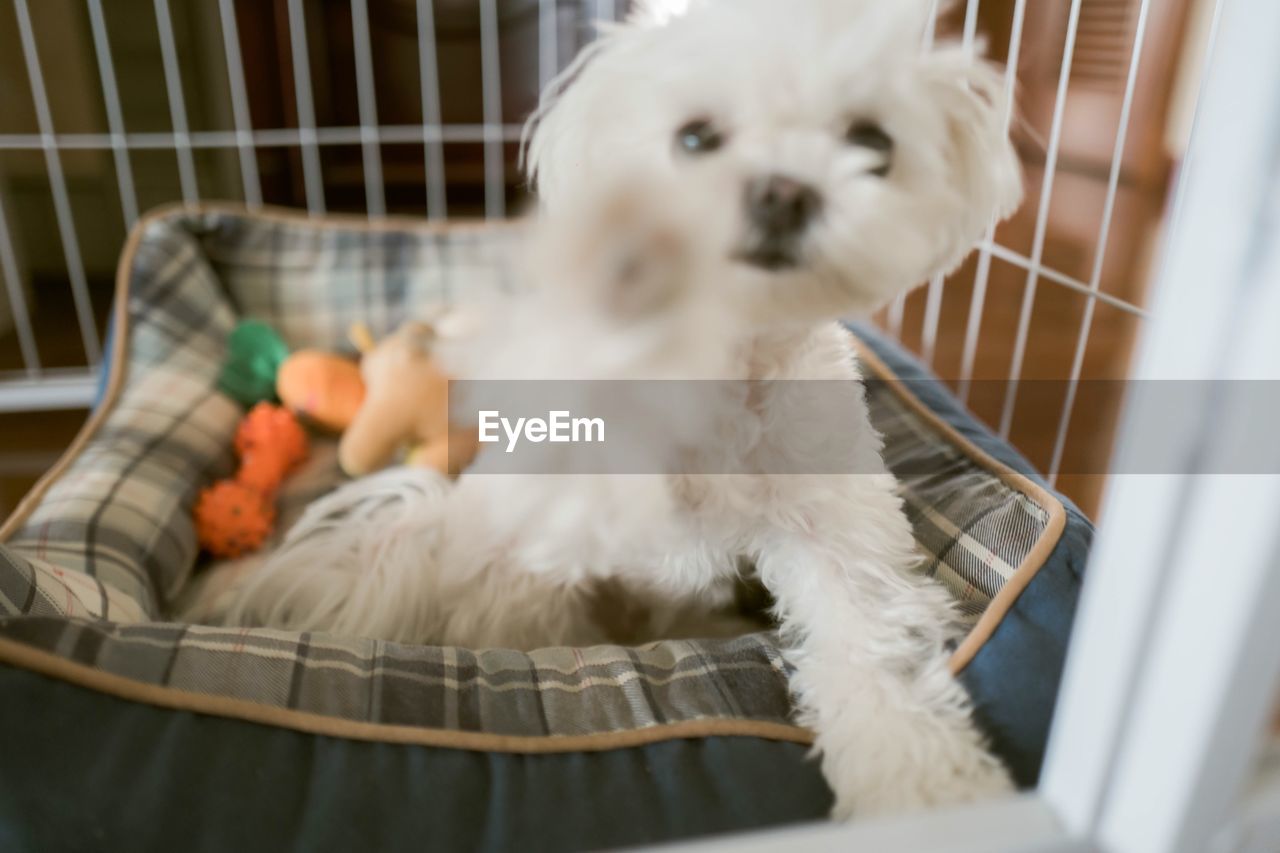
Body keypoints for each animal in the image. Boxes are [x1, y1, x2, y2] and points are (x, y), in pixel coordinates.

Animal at [215, 0, 1024, 814]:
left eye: (871, 142)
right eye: (694, 137)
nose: (783, 192)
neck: (717, 364)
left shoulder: (835, 531)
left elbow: (872, 647)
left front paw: (925, 783)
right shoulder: (550, 524)